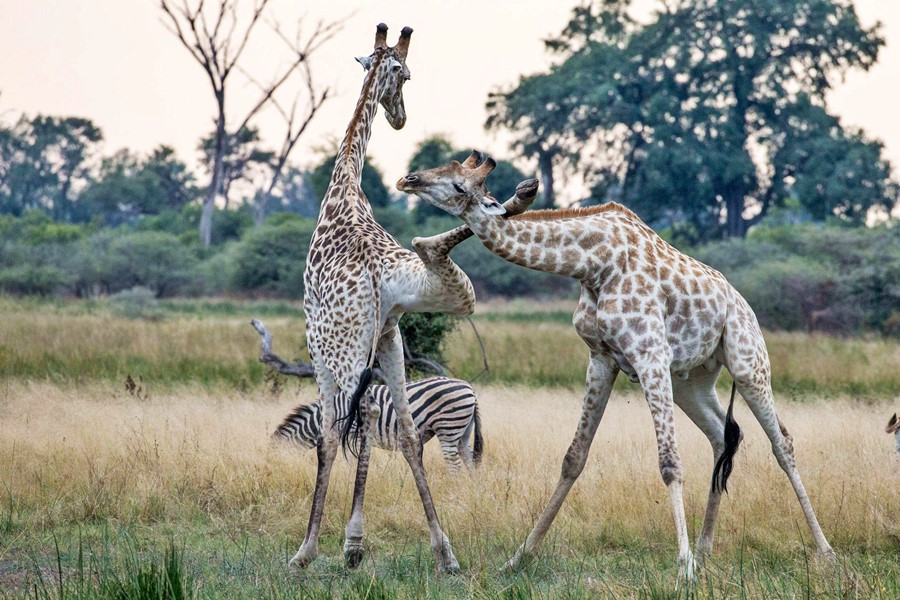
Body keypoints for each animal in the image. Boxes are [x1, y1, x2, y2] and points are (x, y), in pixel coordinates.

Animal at [274, 378, 486, 472]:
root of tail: (470, 388)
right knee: (469, 459)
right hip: (463, 431)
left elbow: (352, 460)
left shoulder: (352, 432)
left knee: (454, 463)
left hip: (448, 426)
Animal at [296, 24, 536, 572]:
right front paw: (354, 544)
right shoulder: (390, 331)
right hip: (428, 307)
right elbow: (394, 433)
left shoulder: (324, 340)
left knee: (345, 425)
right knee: (400, 428)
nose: (400, 117)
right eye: (399, 73)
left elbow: (336, 435)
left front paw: (327, 547)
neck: (344, 188)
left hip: (342, 349)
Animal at [398, 154, 832, 576]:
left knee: (782, 442)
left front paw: (683, 568)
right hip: (691, 382)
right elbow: (573, 458)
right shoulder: (601, 358)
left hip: (746, 362)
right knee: (723, 436)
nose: (408, 179)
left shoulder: (649, 354)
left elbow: (670, 462)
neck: (593, 264)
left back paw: (823, 551)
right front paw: (518, 557)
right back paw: (706, 548)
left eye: (459, 184)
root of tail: (742, 302)